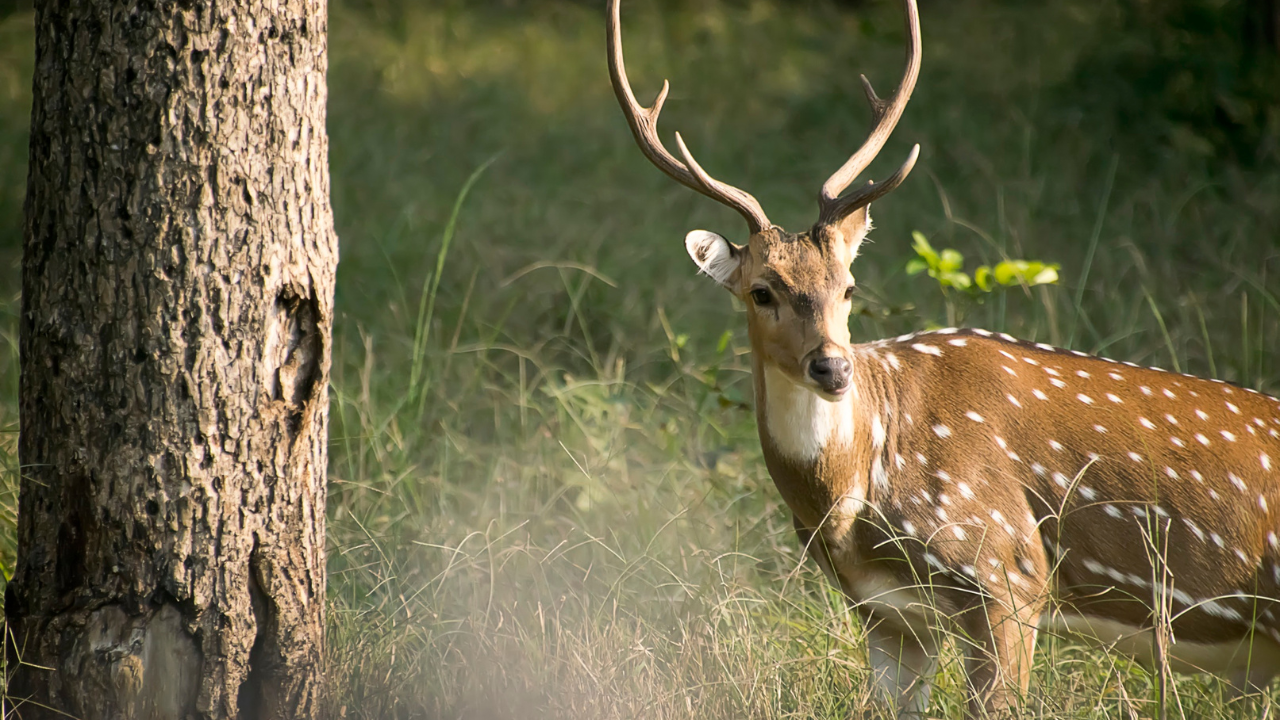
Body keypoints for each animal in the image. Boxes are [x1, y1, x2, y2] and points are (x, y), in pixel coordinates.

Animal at [606, 0, 1280, 712]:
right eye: (762, 291)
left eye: (849, 285)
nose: (832, 367)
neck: (858, 492)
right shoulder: (888, 614)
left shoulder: (1008, 570)